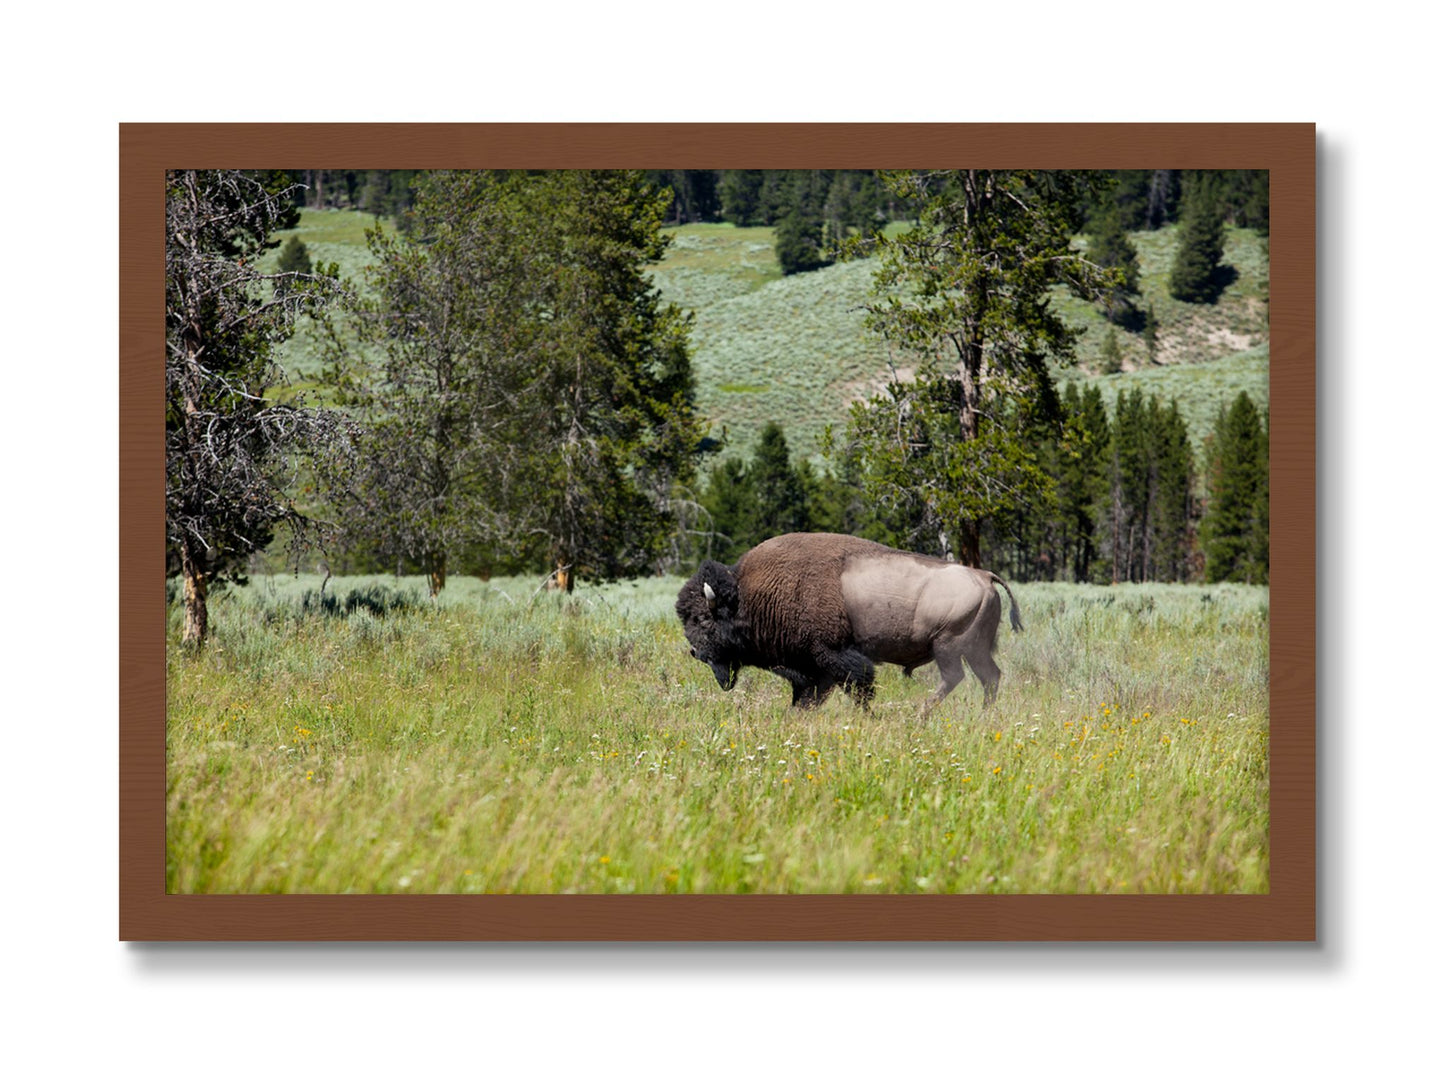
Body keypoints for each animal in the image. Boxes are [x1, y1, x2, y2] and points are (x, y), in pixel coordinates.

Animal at [675, 532, 1023, 711]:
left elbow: (859, 688)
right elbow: (808, 698)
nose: (695, 652)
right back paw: (982, 715)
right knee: (990, 677)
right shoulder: (813, 670)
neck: (749, 595)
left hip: (948, 646)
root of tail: (984, 575)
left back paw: (921, 715)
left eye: (703, 619)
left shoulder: (833, 657)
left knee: (955, 678)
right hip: (974, 649)